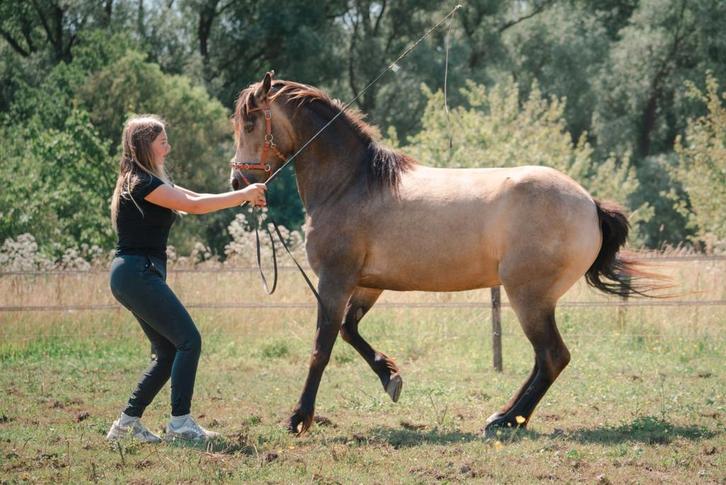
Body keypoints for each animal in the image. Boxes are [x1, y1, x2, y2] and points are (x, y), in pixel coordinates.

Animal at [230, 72, 656, 435]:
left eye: (249, 123)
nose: (238, 181)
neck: (350, 183)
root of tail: (590, 204)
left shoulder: (334, 281)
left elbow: (322, 347)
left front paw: (299, 418)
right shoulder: (367, 284)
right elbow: (350, 331)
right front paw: (390, 377)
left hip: (528, 296)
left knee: (552, 356)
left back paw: (504, 421)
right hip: (533, 299)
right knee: (544, 359)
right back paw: (507, 417)